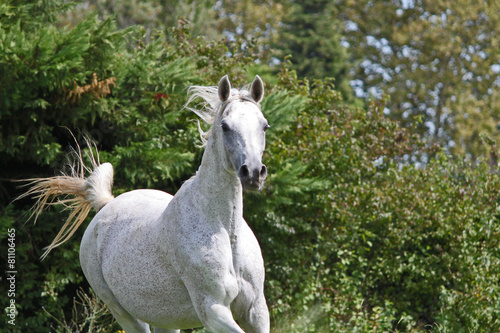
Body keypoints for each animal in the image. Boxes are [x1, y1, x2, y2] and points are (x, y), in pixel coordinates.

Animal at [24, 76, 270, 332]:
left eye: (264, 126)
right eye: (225, 126)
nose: (253, 173)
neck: (225, 229)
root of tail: (106, 205)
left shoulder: (256, 310)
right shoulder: (212, 309)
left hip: (167, 319)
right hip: (124, 313)